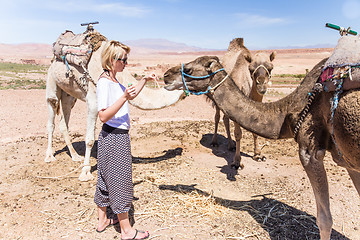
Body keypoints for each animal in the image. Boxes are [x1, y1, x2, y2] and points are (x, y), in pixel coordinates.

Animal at [45, 39, 184, 182]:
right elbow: (89, 139)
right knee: (52, 113)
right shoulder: (93, 101)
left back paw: (75, 156)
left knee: (64, 122)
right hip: (51, 80)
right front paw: (85, 172)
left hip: (69, 94)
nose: (166, 75)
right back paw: (50, 156)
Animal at [211, 38, 276, 169]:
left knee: (225, 119)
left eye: (270, 68)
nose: (261, 85)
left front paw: (258, 154)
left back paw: (231, 145)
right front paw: (236, 162)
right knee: (217, 117)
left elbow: (255, 131)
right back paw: (215, 142)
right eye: (250, 69)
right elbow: (238, 133)